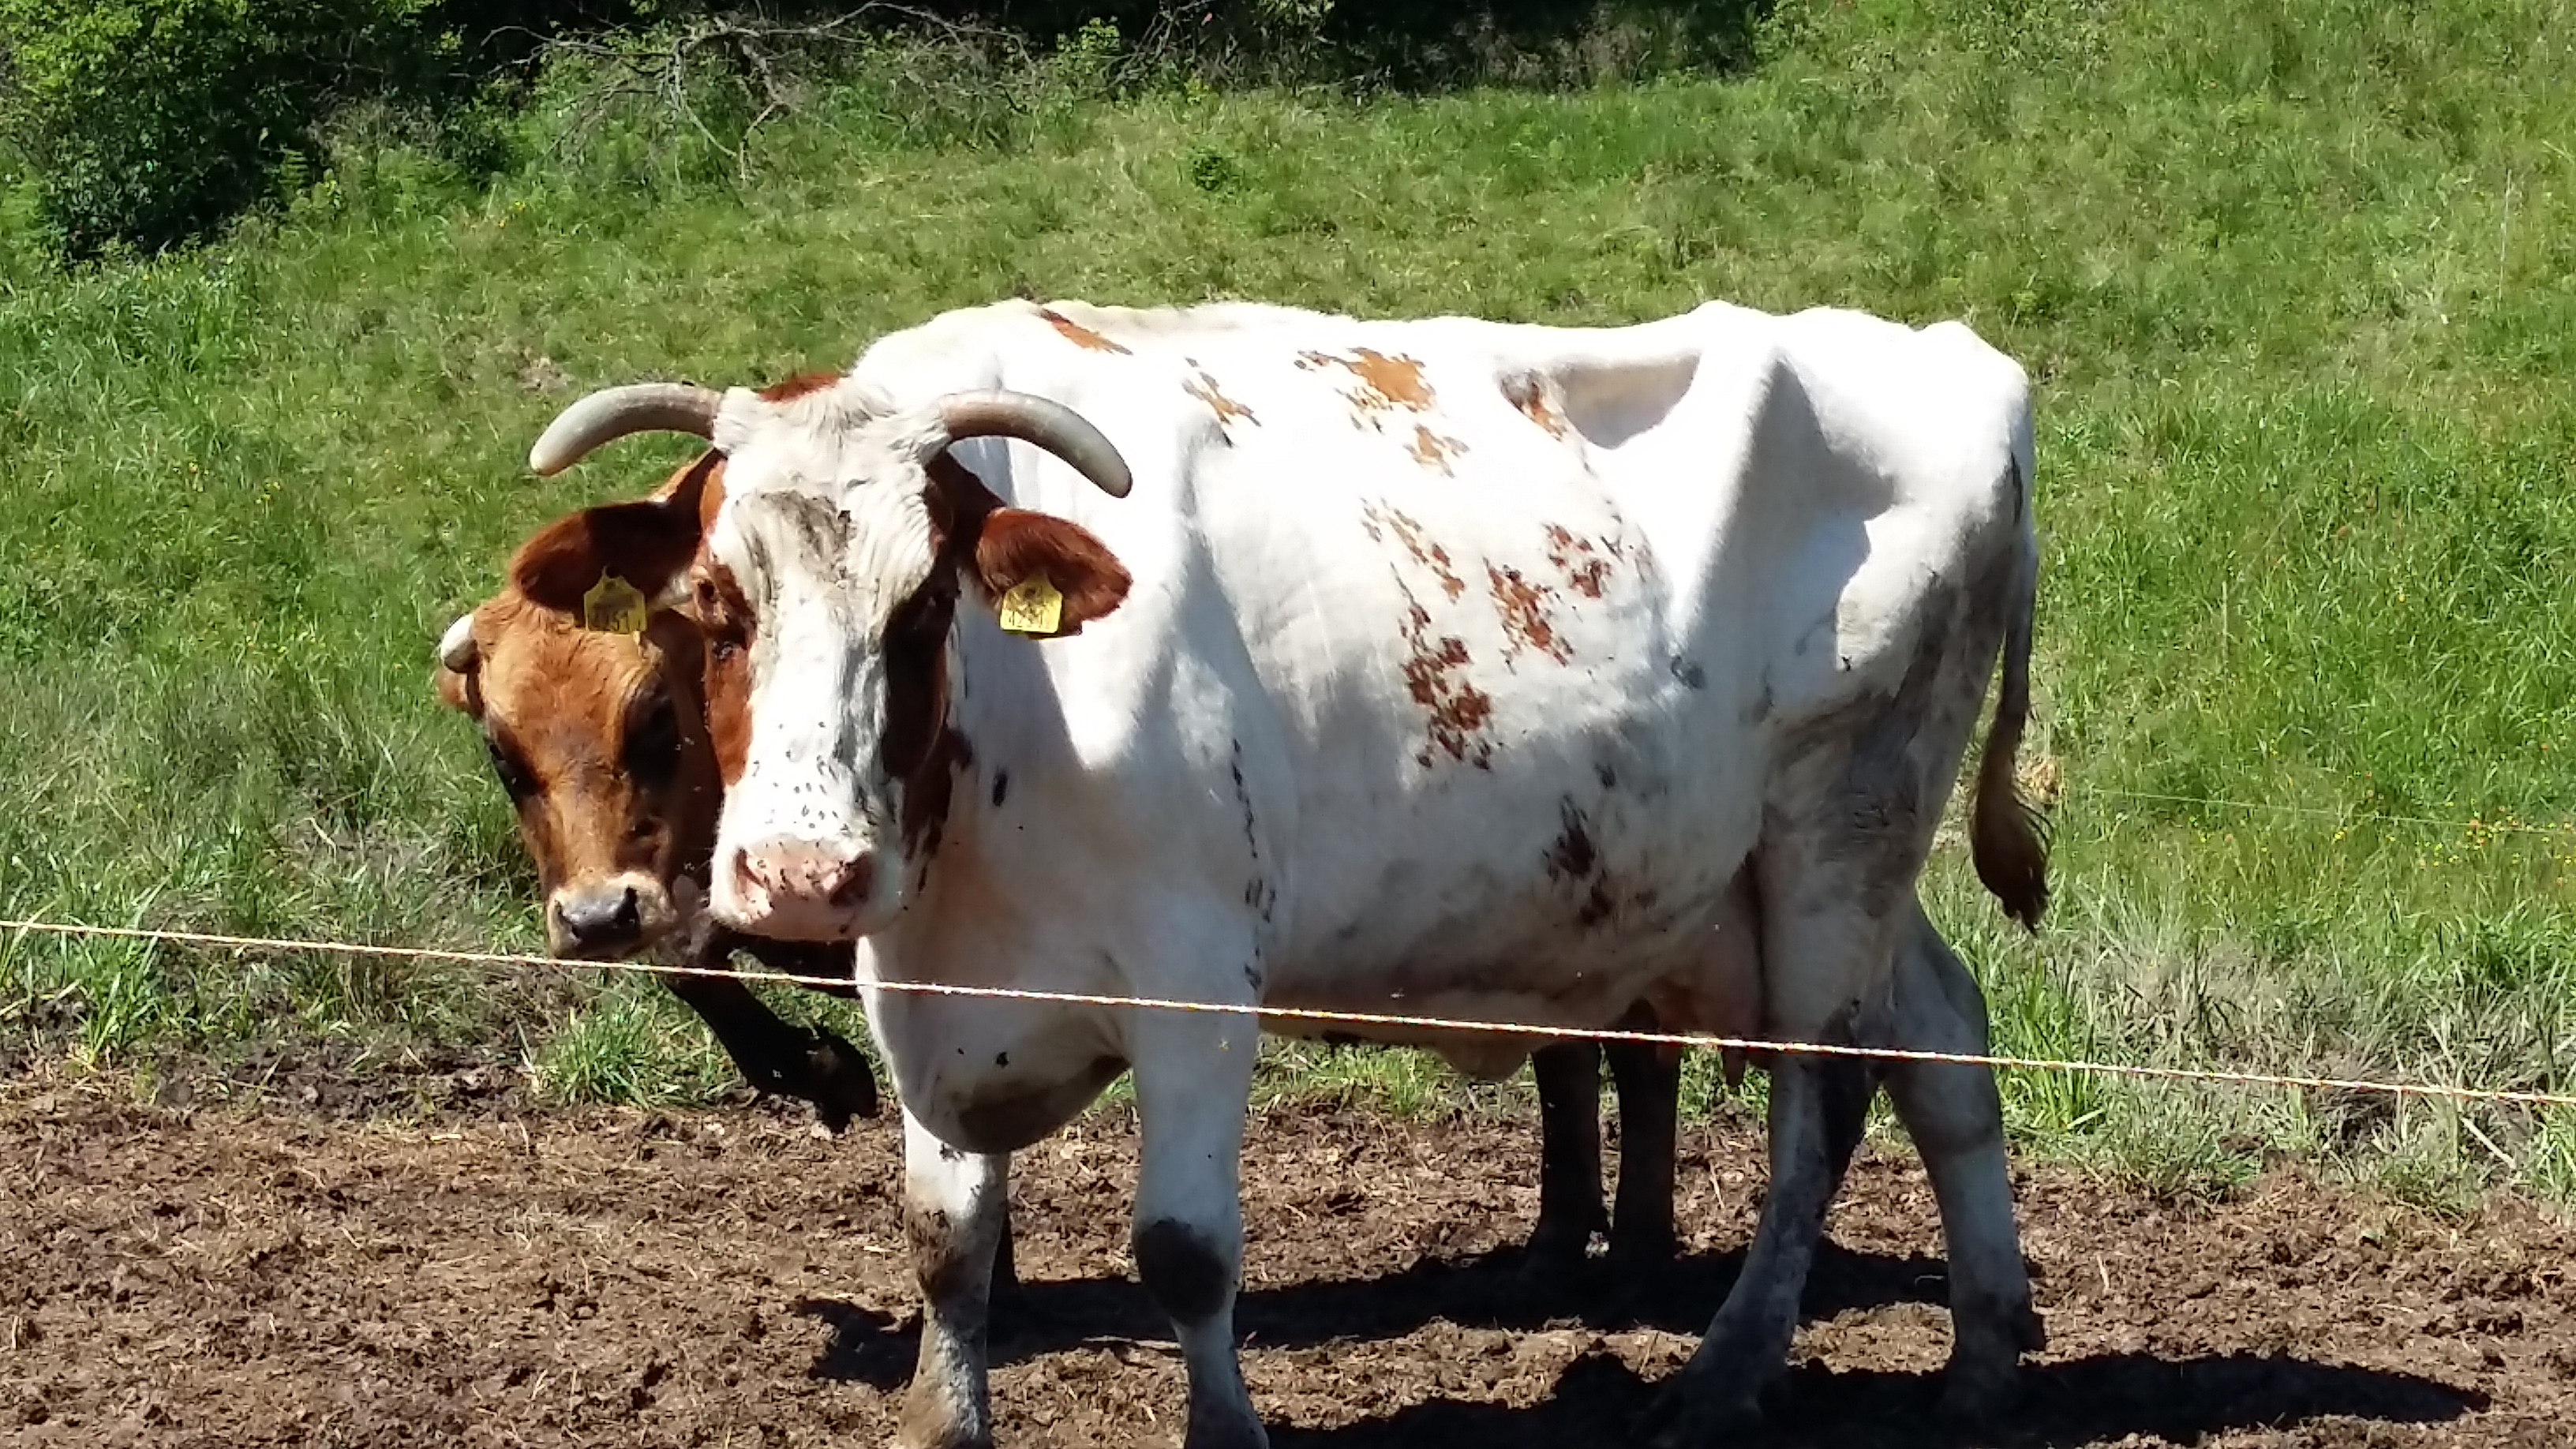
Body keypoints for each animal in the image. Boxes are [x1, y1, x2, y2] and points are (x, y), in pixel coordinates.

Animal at [494, 295, 2052, 1448]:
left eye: (925, 600)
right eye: (712, 604)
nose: (802, 873)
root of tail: (1959, 358)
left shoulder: (1195, 982)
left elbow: (1184, 1247)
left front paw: (1224, 1426)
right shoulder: (922, 987)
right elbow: (944, 1239)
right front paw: (942, 1417)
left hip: (1836, 830)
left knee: (1821, 1104)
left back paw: (1725, 1379)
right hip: (1774, 881)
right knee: (1943, 1042)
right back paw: (1982, 1360)